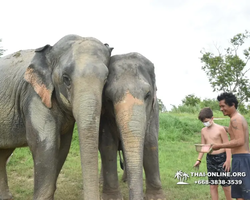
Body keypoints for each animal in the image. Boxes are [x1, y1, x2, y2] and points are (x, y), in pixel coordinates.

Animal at [99, 52, 166, 200]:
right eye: (108, 99)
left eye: (148, 94)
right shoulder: (103, 114)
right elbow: (107, 144)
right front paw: (111, 197)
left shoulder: (153, 111)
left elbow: (150, 142)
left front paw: (156, 197)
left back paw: (125, 180)